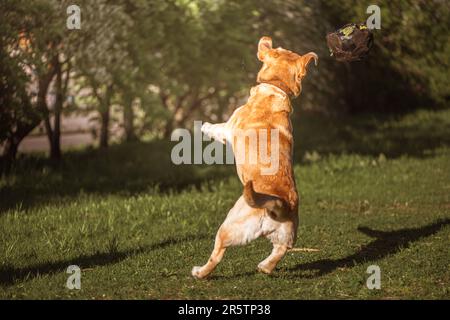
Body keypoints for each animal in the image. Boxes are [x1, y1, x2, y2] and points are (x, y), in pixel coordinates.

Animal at [192, 36, 318, 278]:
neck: (276, 86)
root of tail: (280, 205)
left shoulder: (228, 129)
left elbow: (215, 128)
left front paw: (204, 126)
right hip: (285, 237)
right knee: (279, 253)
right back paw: (264, 266)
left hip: (228, 226)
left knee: (217, 254)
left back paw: (200, 272)